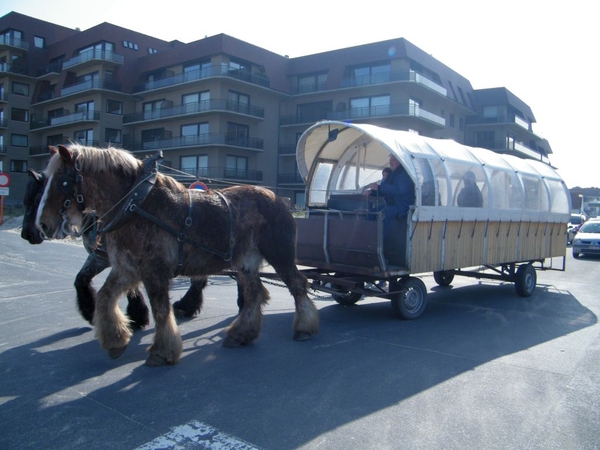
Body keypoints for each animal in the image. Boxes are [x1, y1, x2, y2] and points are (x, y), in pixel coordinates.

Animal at [35, 144, 318, 366]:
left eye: (61, 180)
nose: (42, 225)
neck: (137, 204)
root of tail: (279, 199)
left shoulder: (154, 271)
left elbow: (161, 310)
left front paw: (162, 351)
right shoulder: (127, 268)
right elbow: (105, 297)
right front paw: (116, 340)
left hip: (279, 255)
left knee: (297, 285)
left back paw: (305, 327)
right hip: (246, 263)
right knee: (254, 295)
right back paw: (241, 334)